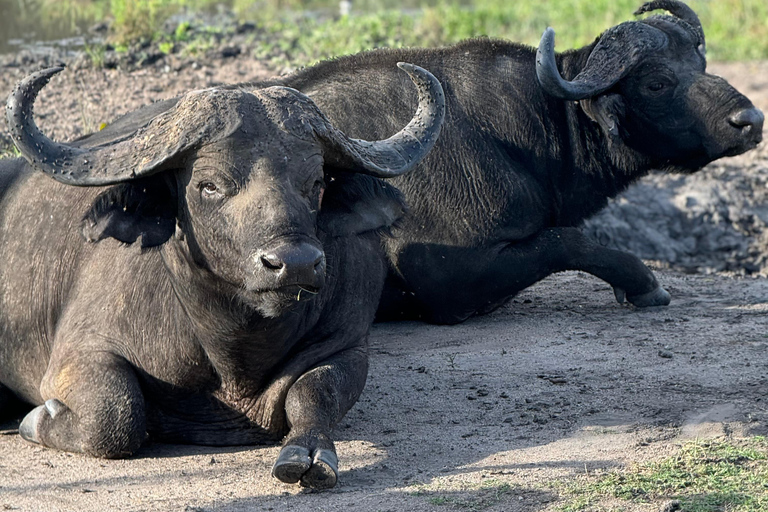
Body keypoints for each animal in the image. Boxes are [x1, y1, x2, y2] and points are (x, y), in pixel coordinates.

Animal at [0, 62, 444, 490]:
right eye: (210, 185)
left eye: (316, 182)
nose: (296, 262)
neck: (233, 349)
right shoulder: (81, 351)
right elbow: (115, 415)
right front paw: (36, 419)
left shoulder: (347, 344)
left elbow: (314, 394)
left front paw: (310, 453)